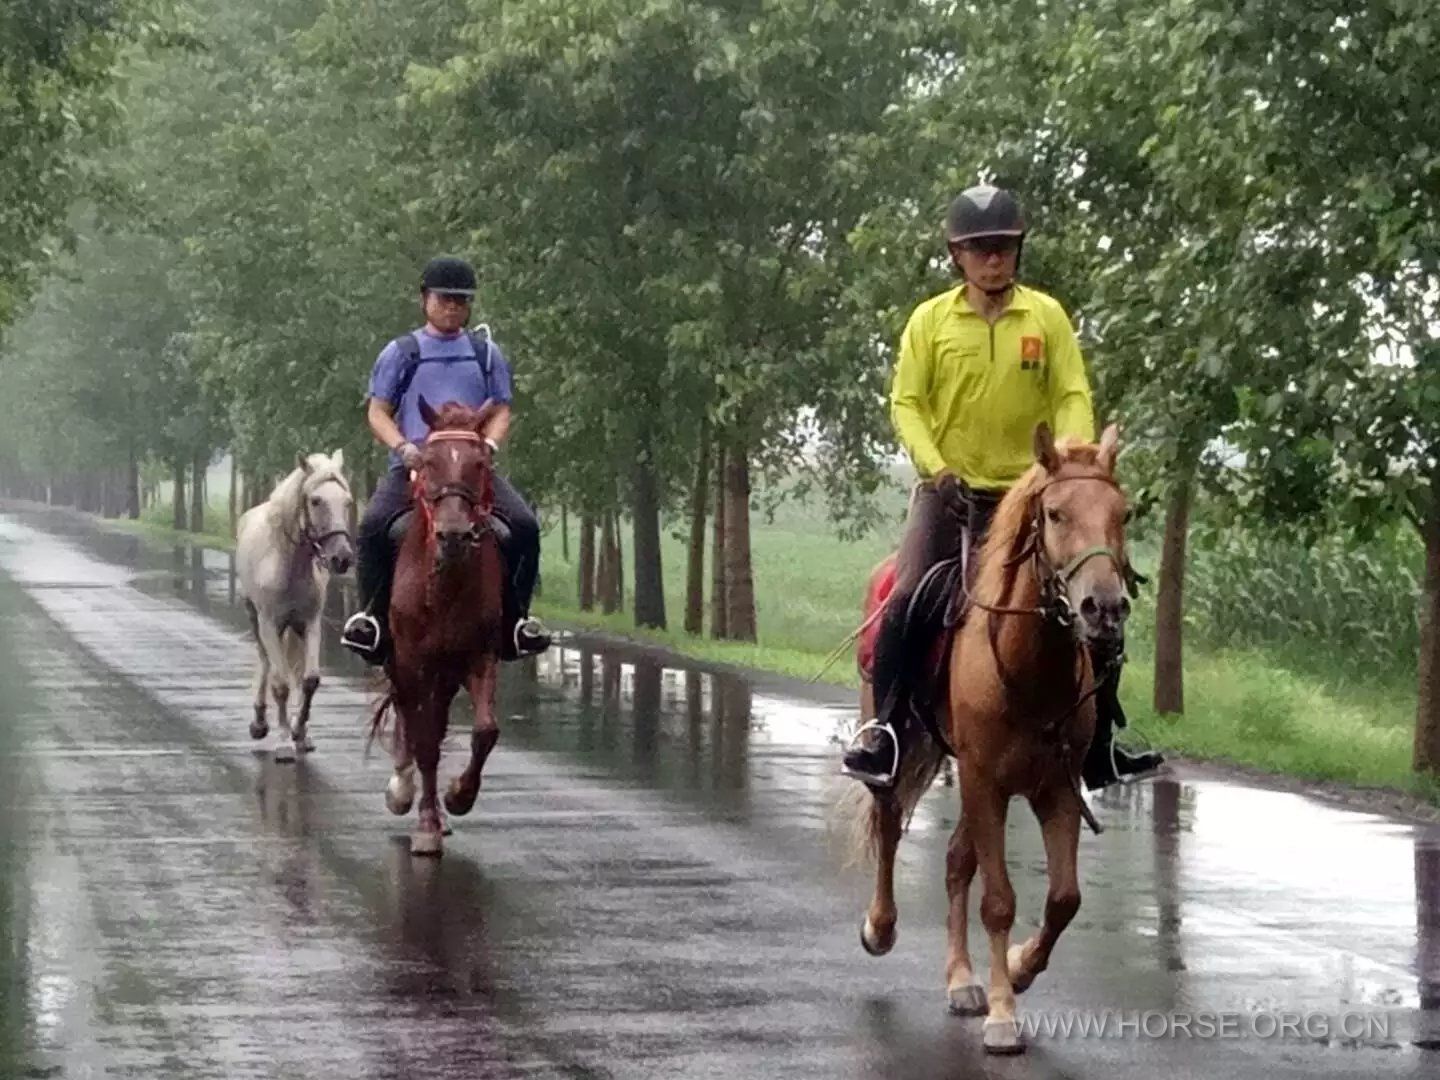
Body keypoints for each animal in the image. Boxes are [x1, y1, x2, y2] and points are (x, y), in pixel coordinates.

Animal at [237, 452, 355, 766]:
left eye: (348, 501)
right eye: (315, 500)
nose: (342, 558)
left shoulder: (309, 623)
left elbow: (310, 679)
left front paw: (299, 733)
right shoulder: (269, 624)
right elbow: (280, 684)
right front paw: (282, 742)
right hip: (255, 618)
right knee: (265, 660)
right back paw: (259, 723)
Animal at [371, 403, 506, 858]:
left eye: (479, 463)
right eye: (428, 462)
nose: (453, 535)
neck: (447, 584)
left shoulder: (479, 655)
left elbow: (484, 731)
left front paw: (458, 796)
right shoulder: (413, 660)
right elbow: (425, 740)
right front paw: (427, 826)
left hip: (446, 673)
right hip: (402, 660)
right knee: (407, 715)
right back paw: (401, 789)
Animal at [840, 426, 1134, 1059]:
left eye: (1123, 513)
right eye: (1055, 513)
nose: (1104, 608)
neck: (1029, 665)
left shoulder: (1054, 789)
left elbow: (1063, 899)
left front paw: (1019, 970)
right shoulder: (983, 781)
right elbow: (998, 900)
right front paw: (1003, 1016)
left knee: (956, 861)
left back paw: (961, 979)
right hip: (903, 744)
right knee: (889, 823)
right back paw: (881, 927)